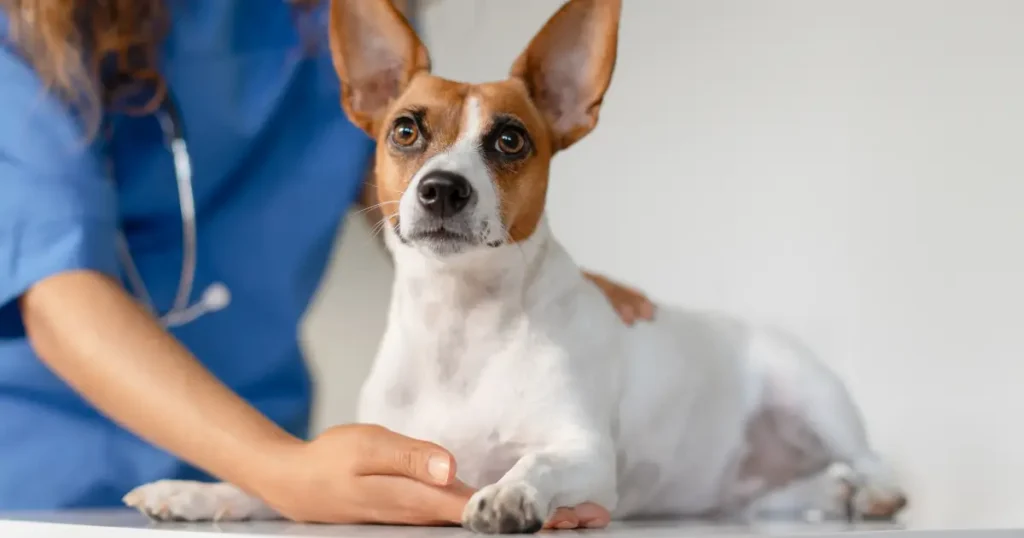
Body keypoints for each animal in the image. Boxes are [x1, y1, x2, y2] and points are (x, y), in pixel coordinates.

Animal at [125, 0, 905, 528]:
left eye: (509, 140)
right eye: (404, 130)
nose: (442, 188)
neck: (461, 327)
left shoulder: (584, 452)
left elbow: (539, 459)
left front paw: (509, 491)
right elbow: (267, 483)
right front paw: (195, 491)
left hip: (811, 394)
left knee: (873, 461)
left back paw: (870, 491)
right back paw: (833, 495)